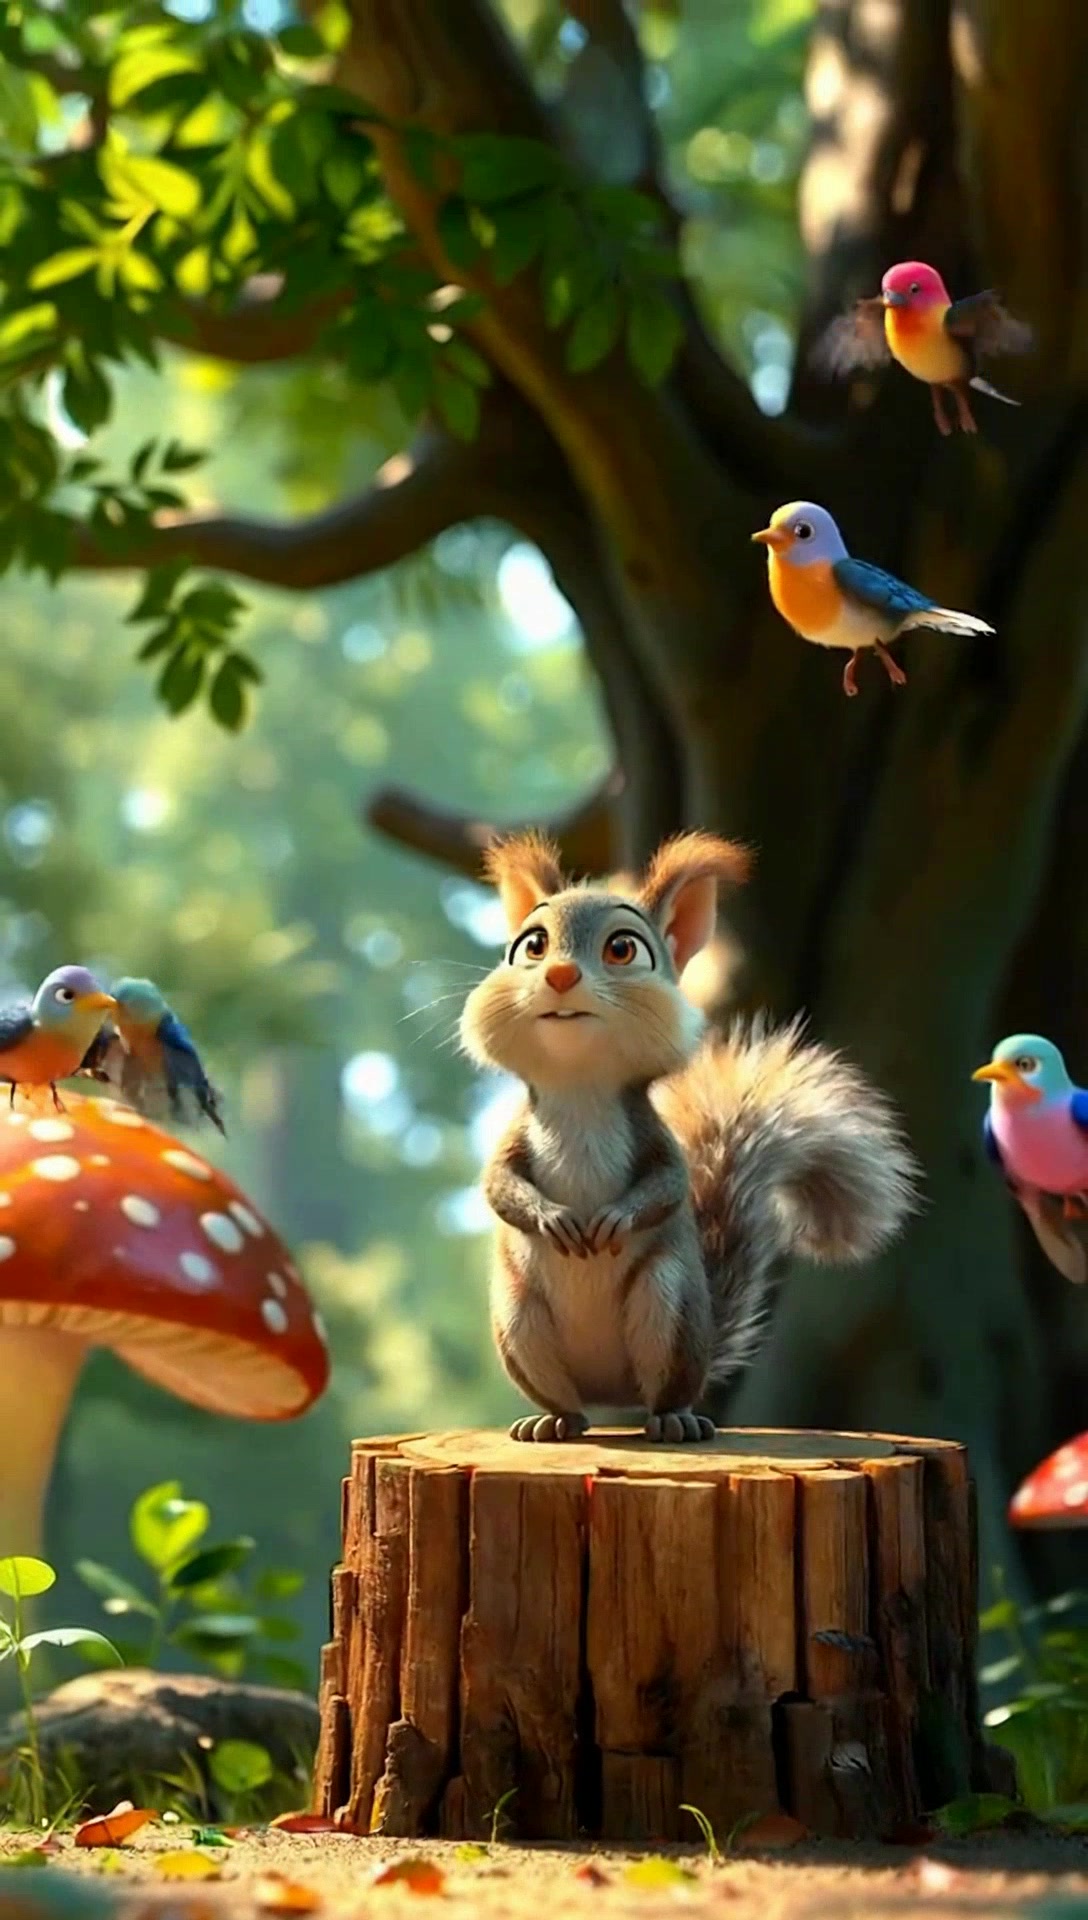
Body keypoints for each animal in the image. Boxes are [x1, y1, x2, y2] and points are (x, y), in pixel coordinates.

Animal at [460, 829, 918, 1445]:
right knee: (567, 1402)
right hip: (518, 1321)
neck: (580, 1088)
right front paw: (553, 1218)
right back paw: (552, 1421)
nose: (559, 976)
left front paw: (614, 1219)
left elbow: (668, 1185)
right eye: (532, 945)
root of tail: (614, 1395)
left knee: (668, 1391)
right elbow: (498, 1185)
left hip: (669, 1304)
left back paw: (675, 1420)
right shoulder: (515, 1136)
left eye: (623, 949)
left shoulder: (654, 1138)